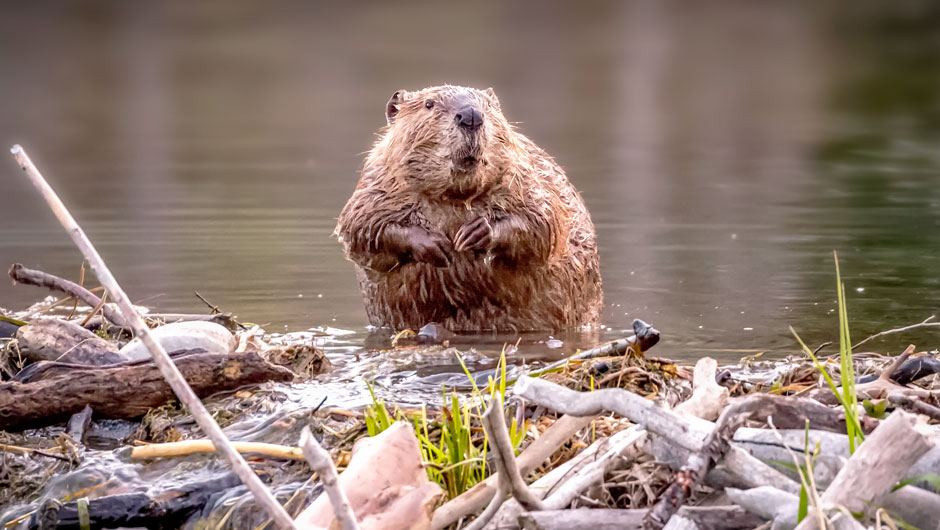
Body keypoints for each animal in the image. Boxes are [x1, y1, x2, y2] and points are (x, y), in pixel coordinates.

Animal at [336, 83, 604, 330]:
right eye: (429, 104)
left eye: (487, 105)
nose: (471, 115)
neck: (454, 197)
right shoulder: (376, 184)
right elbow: (361, 229)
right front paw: (436, 244)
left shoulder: (526, 176)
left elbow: (544, 221)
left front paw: (474, 233)